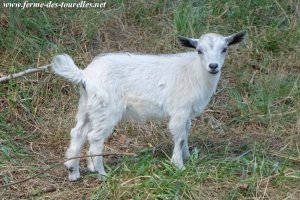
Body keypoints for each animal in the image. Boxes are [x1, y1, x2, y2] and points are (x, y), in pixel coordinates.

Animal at [52, 30, 247, 180]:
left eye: (224, 49)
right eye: (199, 50)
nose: (213, 66)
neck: (194, 72)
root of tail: (84, 74)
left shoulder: (186, 113)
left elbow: (186, 132)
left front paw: (187, 157)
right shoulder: (180, 109)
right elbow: (179, 136)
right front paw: (179, 165)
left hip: (88, 106)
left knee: (78, 132)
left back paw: (73, 171)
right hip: (107, 108)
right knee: (94, 138)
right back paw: (101, 174)